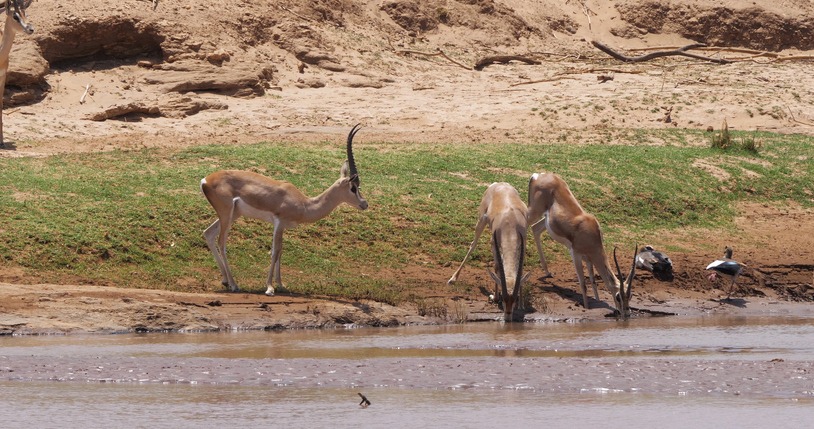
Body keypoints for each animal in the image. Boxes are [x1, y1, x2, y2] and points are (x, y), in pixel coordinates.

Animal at [200, 124, 368, 296]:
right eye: (353, 188)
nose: (364, 203)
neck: (304, 204)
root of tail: (206, 180)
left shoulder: (283, 226)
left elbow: (280, 251)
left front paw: (281, 284)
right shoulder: (279, 223)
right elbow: (274, 252)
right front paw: (269, 287)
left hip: (233, 214)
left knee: (208, 233)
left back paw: (226, 281)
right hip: (227, 214)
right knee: (221, 242)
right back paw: (234, 285)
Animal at [448, 182, 530, 322]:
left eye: (514, 300)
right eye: (504, 299)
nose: (508, 317)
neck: (510, 222)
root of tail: (499, 184)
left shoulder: (523, 242)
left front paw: (522, 305)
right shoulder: (493, 242)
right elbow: (497, 267)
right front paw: (495, 297)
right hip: (481, 220)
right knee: (473, 245)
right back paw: (453, 279)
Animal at [527, 172, 636, 317]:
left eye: (630, 296)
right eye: (618, 296)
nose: (627, 313)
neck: (592, 235)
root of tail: (539, 175)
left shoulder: (589, 259)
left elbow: (593, 281)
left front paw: (597, 300)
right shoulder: (576, 255)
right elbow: (583, 283)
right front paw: (587, 308)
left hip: (545, 220)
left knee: (535, 229)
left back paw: (547, 272)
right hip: (534, 211)